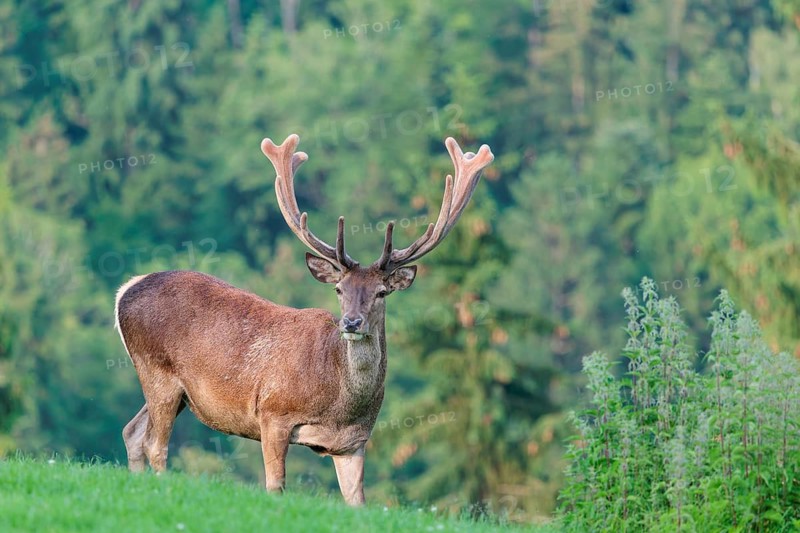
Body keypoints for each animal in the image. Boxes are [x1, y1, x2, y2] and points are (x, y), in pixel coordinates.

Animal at [114, 133, 494, 505]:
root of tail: (125, 291)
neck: (338, 403)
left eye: (382, 292)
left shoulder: (354, 442)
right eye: (339, 289)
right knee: (154, 444)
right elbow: (276, 485)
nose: (351, 323)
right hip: (158, 371)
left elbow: (357, 501)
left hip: (177, 391)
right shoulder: (272, 414)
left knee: (132, 431)